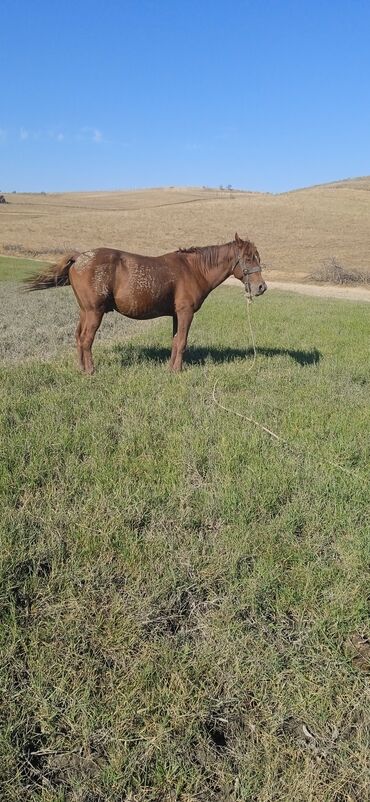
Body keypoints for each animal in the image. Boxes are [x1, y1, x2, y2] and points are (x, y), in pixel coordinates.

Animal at [26, 228, 268, 372]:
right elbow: (182, 342)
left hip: (85, 312)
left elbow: (175, 341)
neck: (193, 269)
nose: (261, 287)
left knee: (78, 338)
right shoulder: (186, 313)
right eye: (248, 258)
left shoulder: (176, 315)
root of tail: (80, 257)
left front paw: (171, 368)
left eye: (257, 257)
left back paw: (81, 368)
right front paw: (178, 371)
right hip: (94, 312)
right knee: (86, 340)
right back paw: (90, 372)